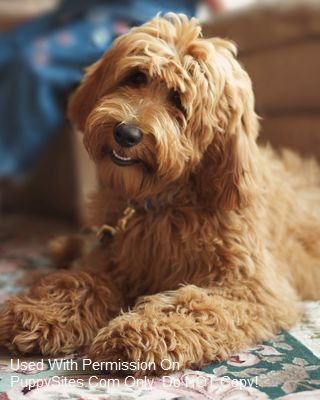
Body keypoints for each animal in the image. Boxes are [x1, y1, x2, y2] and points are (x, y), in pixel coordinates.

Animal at [0, 13, 320, 376]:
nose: (126, 133)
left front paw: (136, 333)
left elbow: (195, 303)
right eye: (137, 76)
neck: (162, 200)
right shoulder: (112, 258)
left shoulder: (251, 288)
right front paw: (39, 313)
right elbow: (80, 281)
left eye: (179, 100)